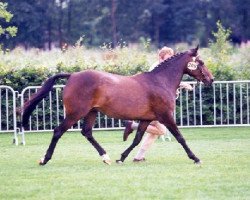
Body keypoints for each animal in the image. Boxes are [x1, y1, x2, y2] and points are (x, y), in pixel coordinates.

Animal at [21, 46, 214, 166]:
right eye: (201, 62)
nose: (210, 79)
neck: (160, 82)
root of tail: (72, 76)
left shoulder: (146, 119)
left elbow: (137, 139)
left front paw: (122, 157)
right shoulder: (166, 116)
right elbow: (180, 137)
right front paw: (195, 158)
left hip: (91, 112)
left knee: (87, 132)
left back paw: (106, 157)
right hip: (75, 114)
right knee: (58, 131)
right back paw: (44, 159)